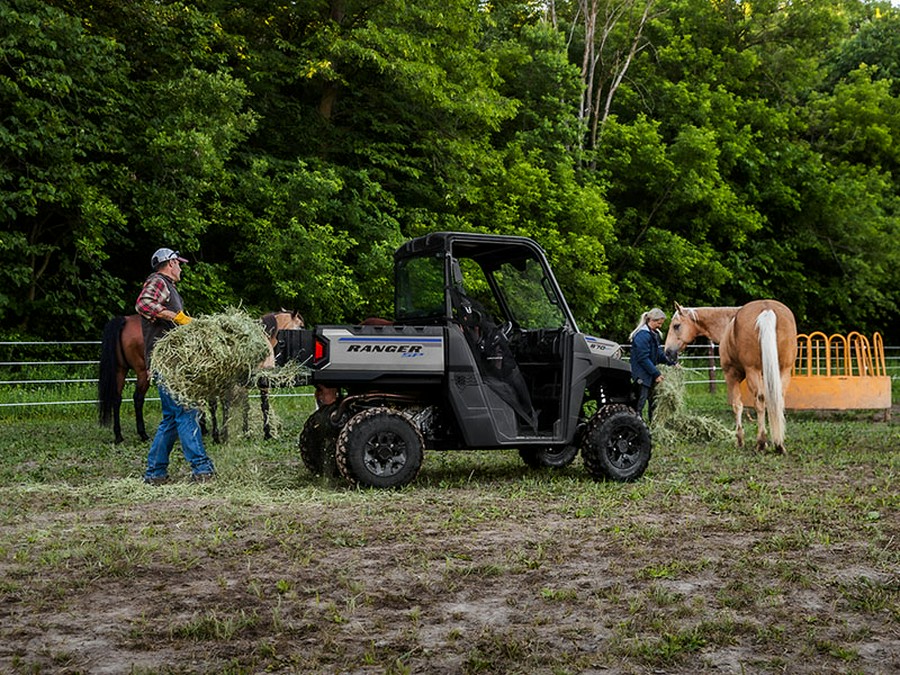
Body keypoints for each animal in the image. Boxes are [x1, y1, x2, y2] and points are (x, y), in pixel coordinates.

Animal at [97, 310, 304, 444]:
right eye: (301, 325)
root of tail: (124, 320)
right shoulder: (258, 382)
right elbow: (261, 406)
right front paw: (263, 433)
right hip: (142, 373)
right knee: (137, 399)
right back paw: (142, 434)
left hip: (120, 371)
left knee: (116, 399)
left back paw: (119, 435)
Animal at [660, 302, 796, 454]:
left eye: (676, 326)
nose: (668, 352)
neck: (728, 323)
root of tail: (766, 309)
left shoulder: (731, 375)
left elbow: (737, 405)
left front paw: (740, 439)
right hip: (783, 370)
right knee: (778, 400)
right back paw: (779, 444)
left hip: (753, 371)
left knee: (760, 401)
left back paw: (761, 442)